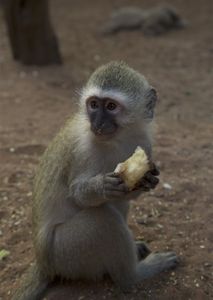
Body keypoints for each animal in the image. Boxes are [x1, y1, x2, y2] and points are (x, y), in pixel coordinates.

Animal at [12, 61, 179, 300]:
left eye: (110, 106)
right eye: (93, 105)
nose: (97, 124)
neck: (117, 138)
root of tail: (44, 264)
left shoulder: (144, 143)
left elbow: (130, 189)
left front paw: (148, 179)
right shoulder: (83, 149)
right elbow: (78, 196)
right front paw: (101, 187)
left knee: (117, 204)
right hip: (66, 252)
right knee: (103, 220)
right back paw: (135, 275)